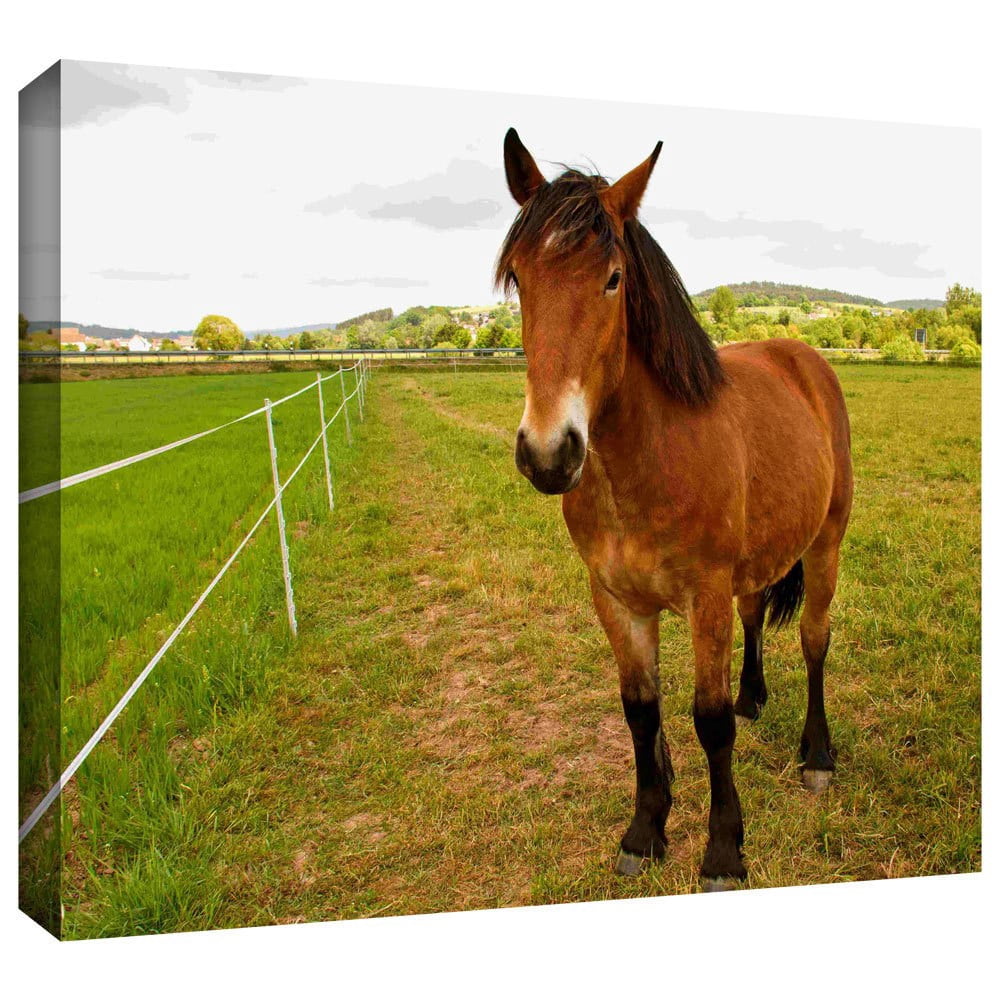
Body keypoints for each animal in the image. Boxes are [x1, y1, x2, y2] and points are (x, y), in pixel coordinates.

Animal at [497, 129, 853, 890]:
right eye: (516, 277)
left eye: (612, 278)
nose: (548, 453)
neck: (647, 461)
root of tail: (804, 357)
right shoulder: (616, 600)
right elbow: (640, 713)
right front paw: (644, 831)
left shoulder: (704, 596)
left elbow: (708, 721)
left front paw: (722, 851)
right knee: (757, 616)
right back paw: (755, 695)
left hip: (826, 543)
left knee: (814, 640)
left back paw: (816, 756)